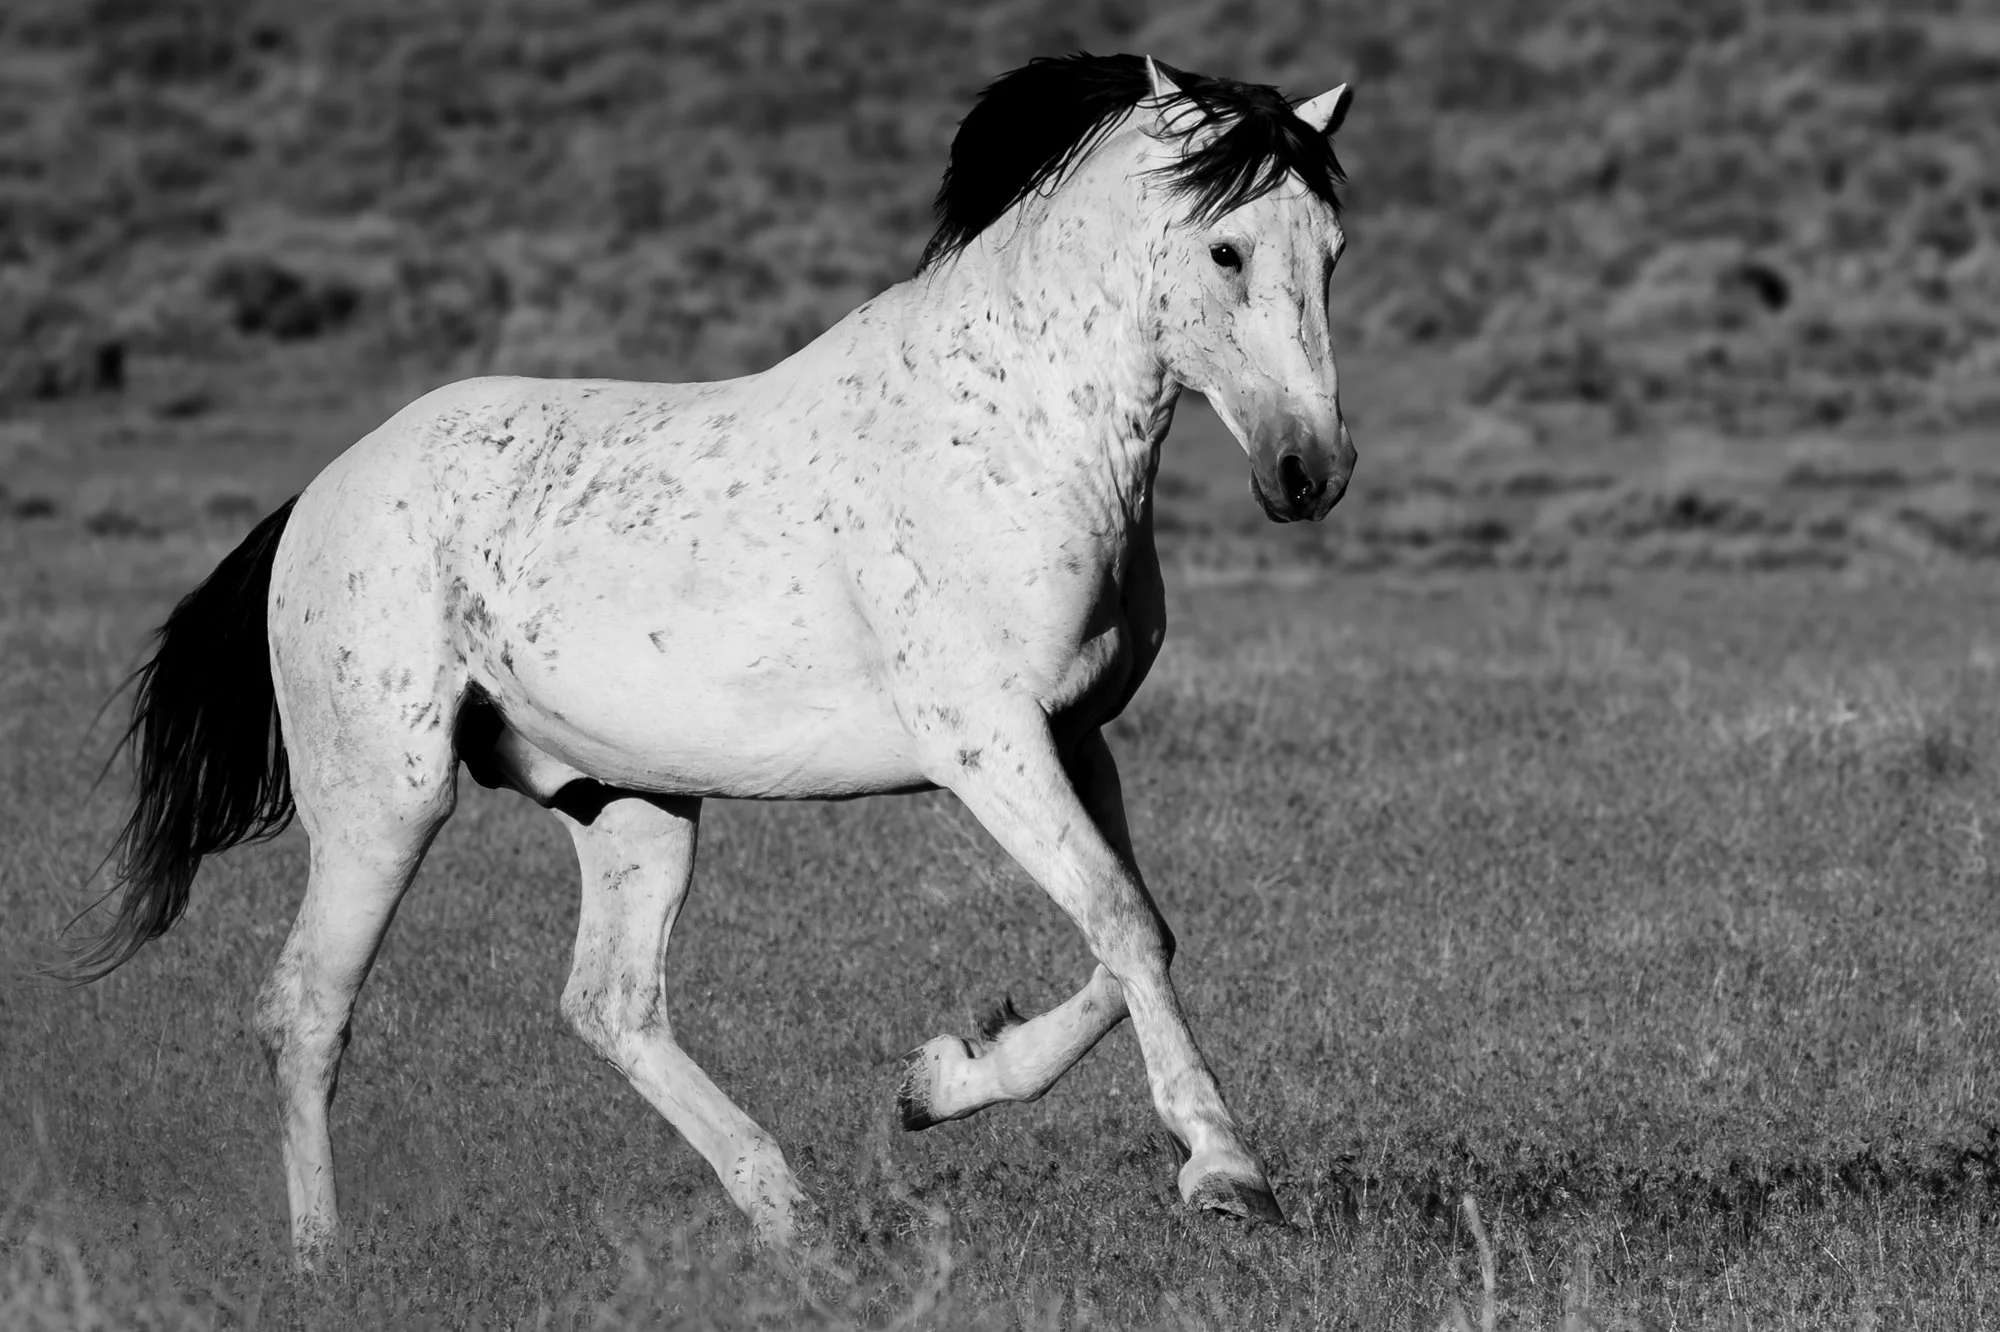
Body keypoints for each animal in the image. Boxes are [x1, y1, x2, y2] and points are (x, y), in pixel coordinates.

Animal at [75, 52, 1358, 1269]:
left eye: (1332, 253)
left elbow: (1130, 930)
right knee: (304, 1010)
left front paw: (936, 1081)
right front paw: (1227, 1176)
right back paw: (322, 1260)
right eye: (1226, 247)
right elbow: (1121, 923)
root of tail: (316, 499)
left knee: (610, 1005)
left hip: (626, 801)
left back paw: (785, 1211)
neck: (1018, 438)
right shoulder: (988, 745)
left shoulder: (1075, 739)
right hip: (383, 804)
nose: (1310, 472)